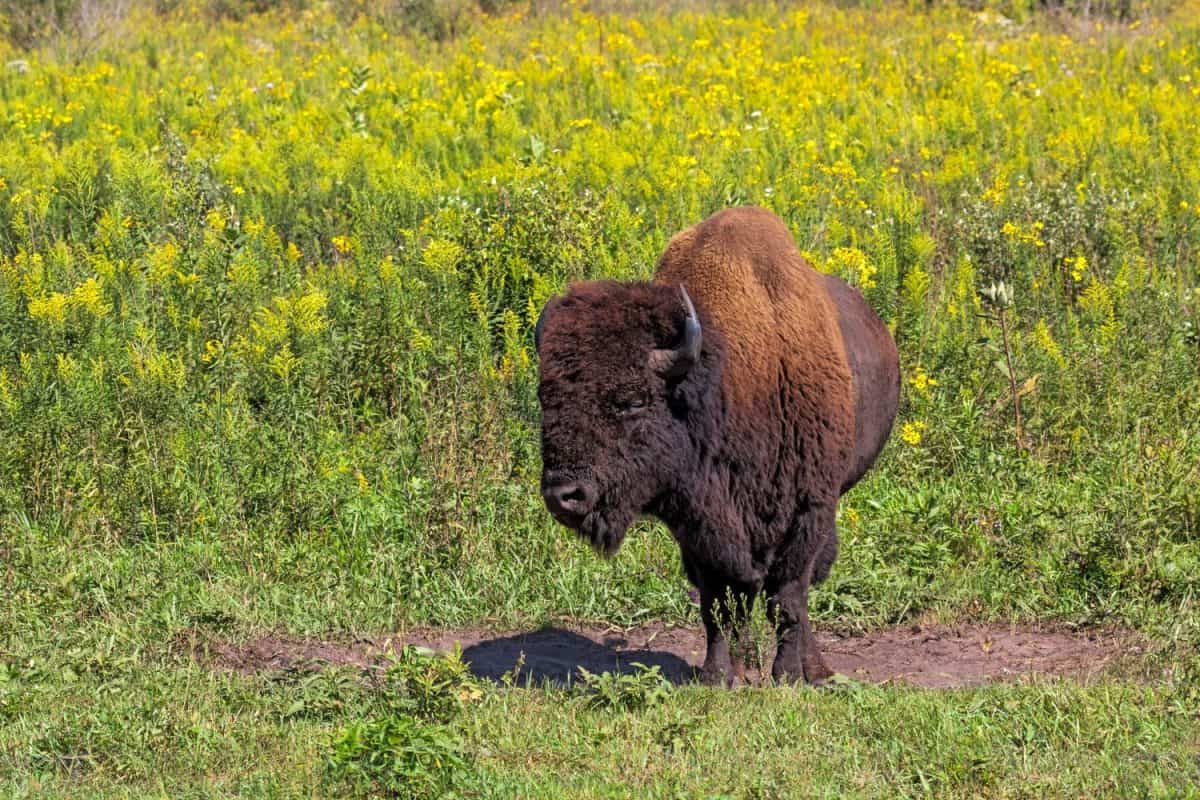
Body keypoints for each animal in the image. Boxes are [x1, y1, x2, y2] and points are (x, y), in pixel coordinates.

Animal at [537, 205, 902, 681]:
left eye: (632, 401)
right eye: (545, 397)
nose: (564, 495)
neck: (725, 382)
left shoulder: (808, 511)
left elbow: (788, 597)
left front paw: (788, 675)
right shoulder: (697, 526)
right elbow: (719, 605)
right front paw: (720, 675)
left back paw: (814, 669)